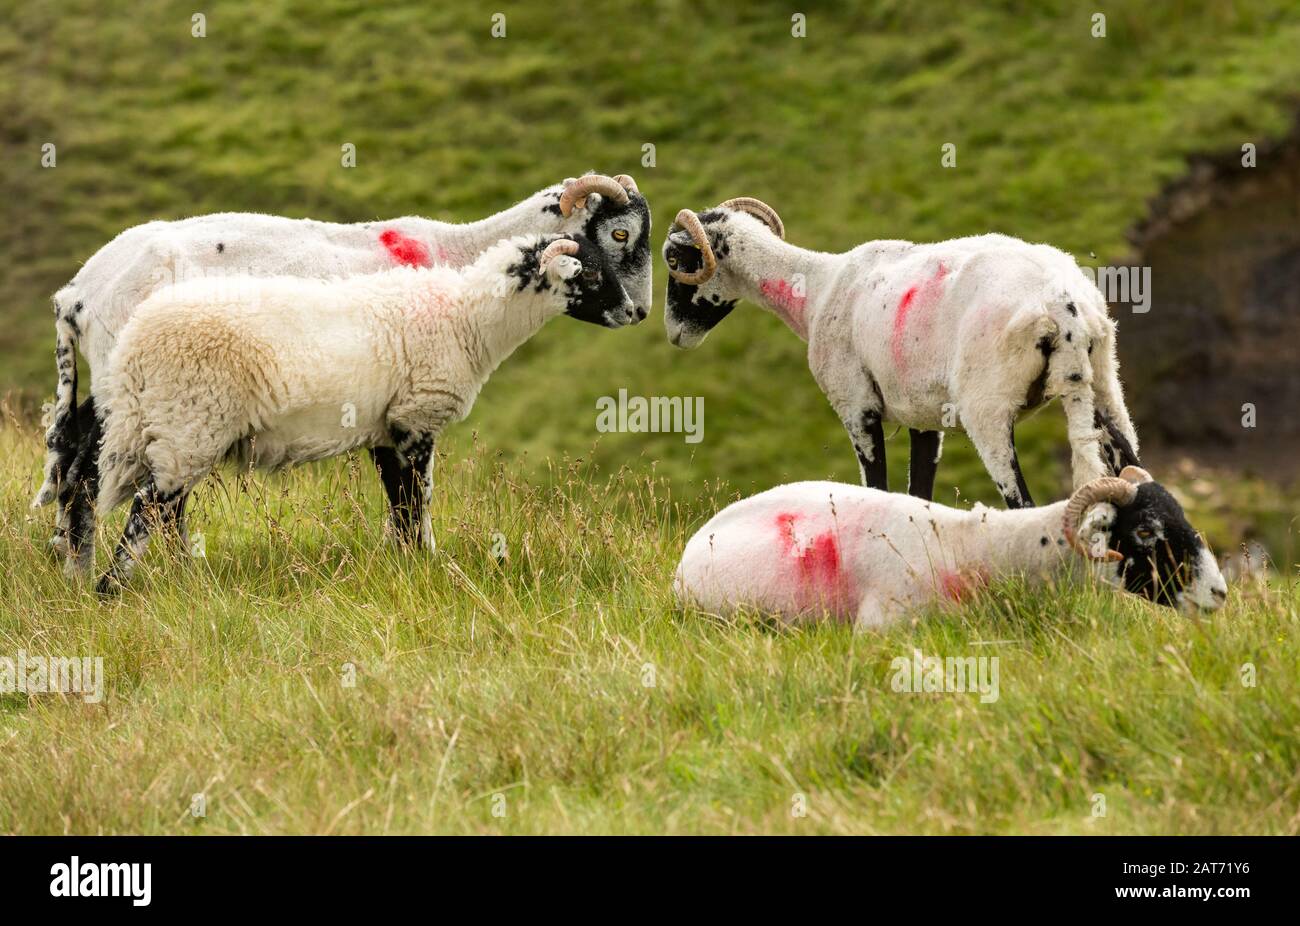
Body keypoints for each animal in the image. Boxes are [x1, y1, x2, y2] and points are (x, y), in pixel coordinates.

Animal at [665, 197, 1144, 509]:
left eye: (674, 258)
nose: (675, 334)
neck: (814, 290)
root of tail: (1063, 306)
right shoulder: (924, 416)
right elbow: (920, 496)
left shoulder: (856, 405)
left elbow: (877, 488)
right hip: (1105, 382)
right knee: (1134, 470)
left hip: (987, 407)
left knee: (1022, 503)